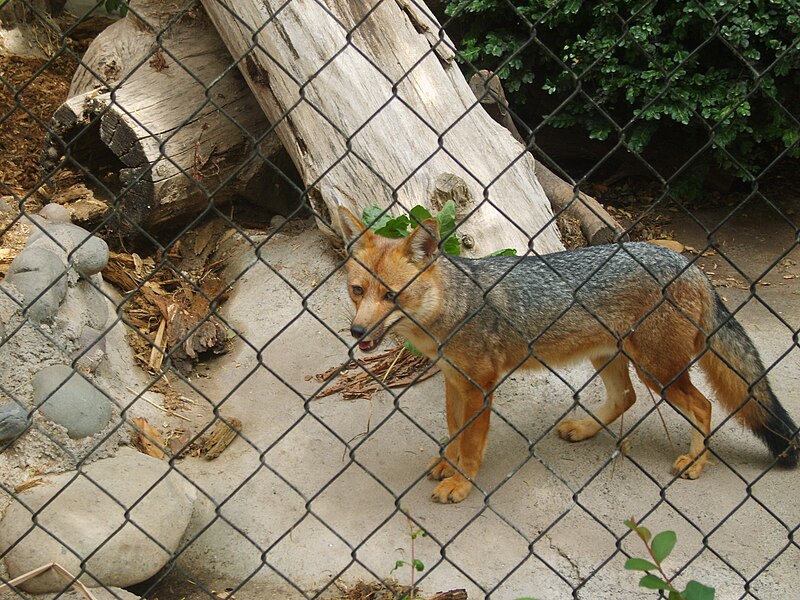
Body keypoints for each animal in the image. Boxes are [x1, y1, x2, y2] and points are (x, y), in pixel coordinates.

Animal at [338, 205, 800, 502]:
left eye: (392, 296)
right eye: (358, 291)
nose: (357, 332)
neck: (455, 306)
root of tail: (690, 265)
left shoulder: (480, 386)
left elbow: (471, 443)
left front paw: (460, 482)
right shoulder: (455, 381)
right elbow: (454, 432)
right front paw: (447, 465)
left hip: (658, 372)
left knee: (702, 405)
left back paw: (695, 463)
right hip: (611, 358)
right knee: (625, 398)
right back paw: (583, 428)